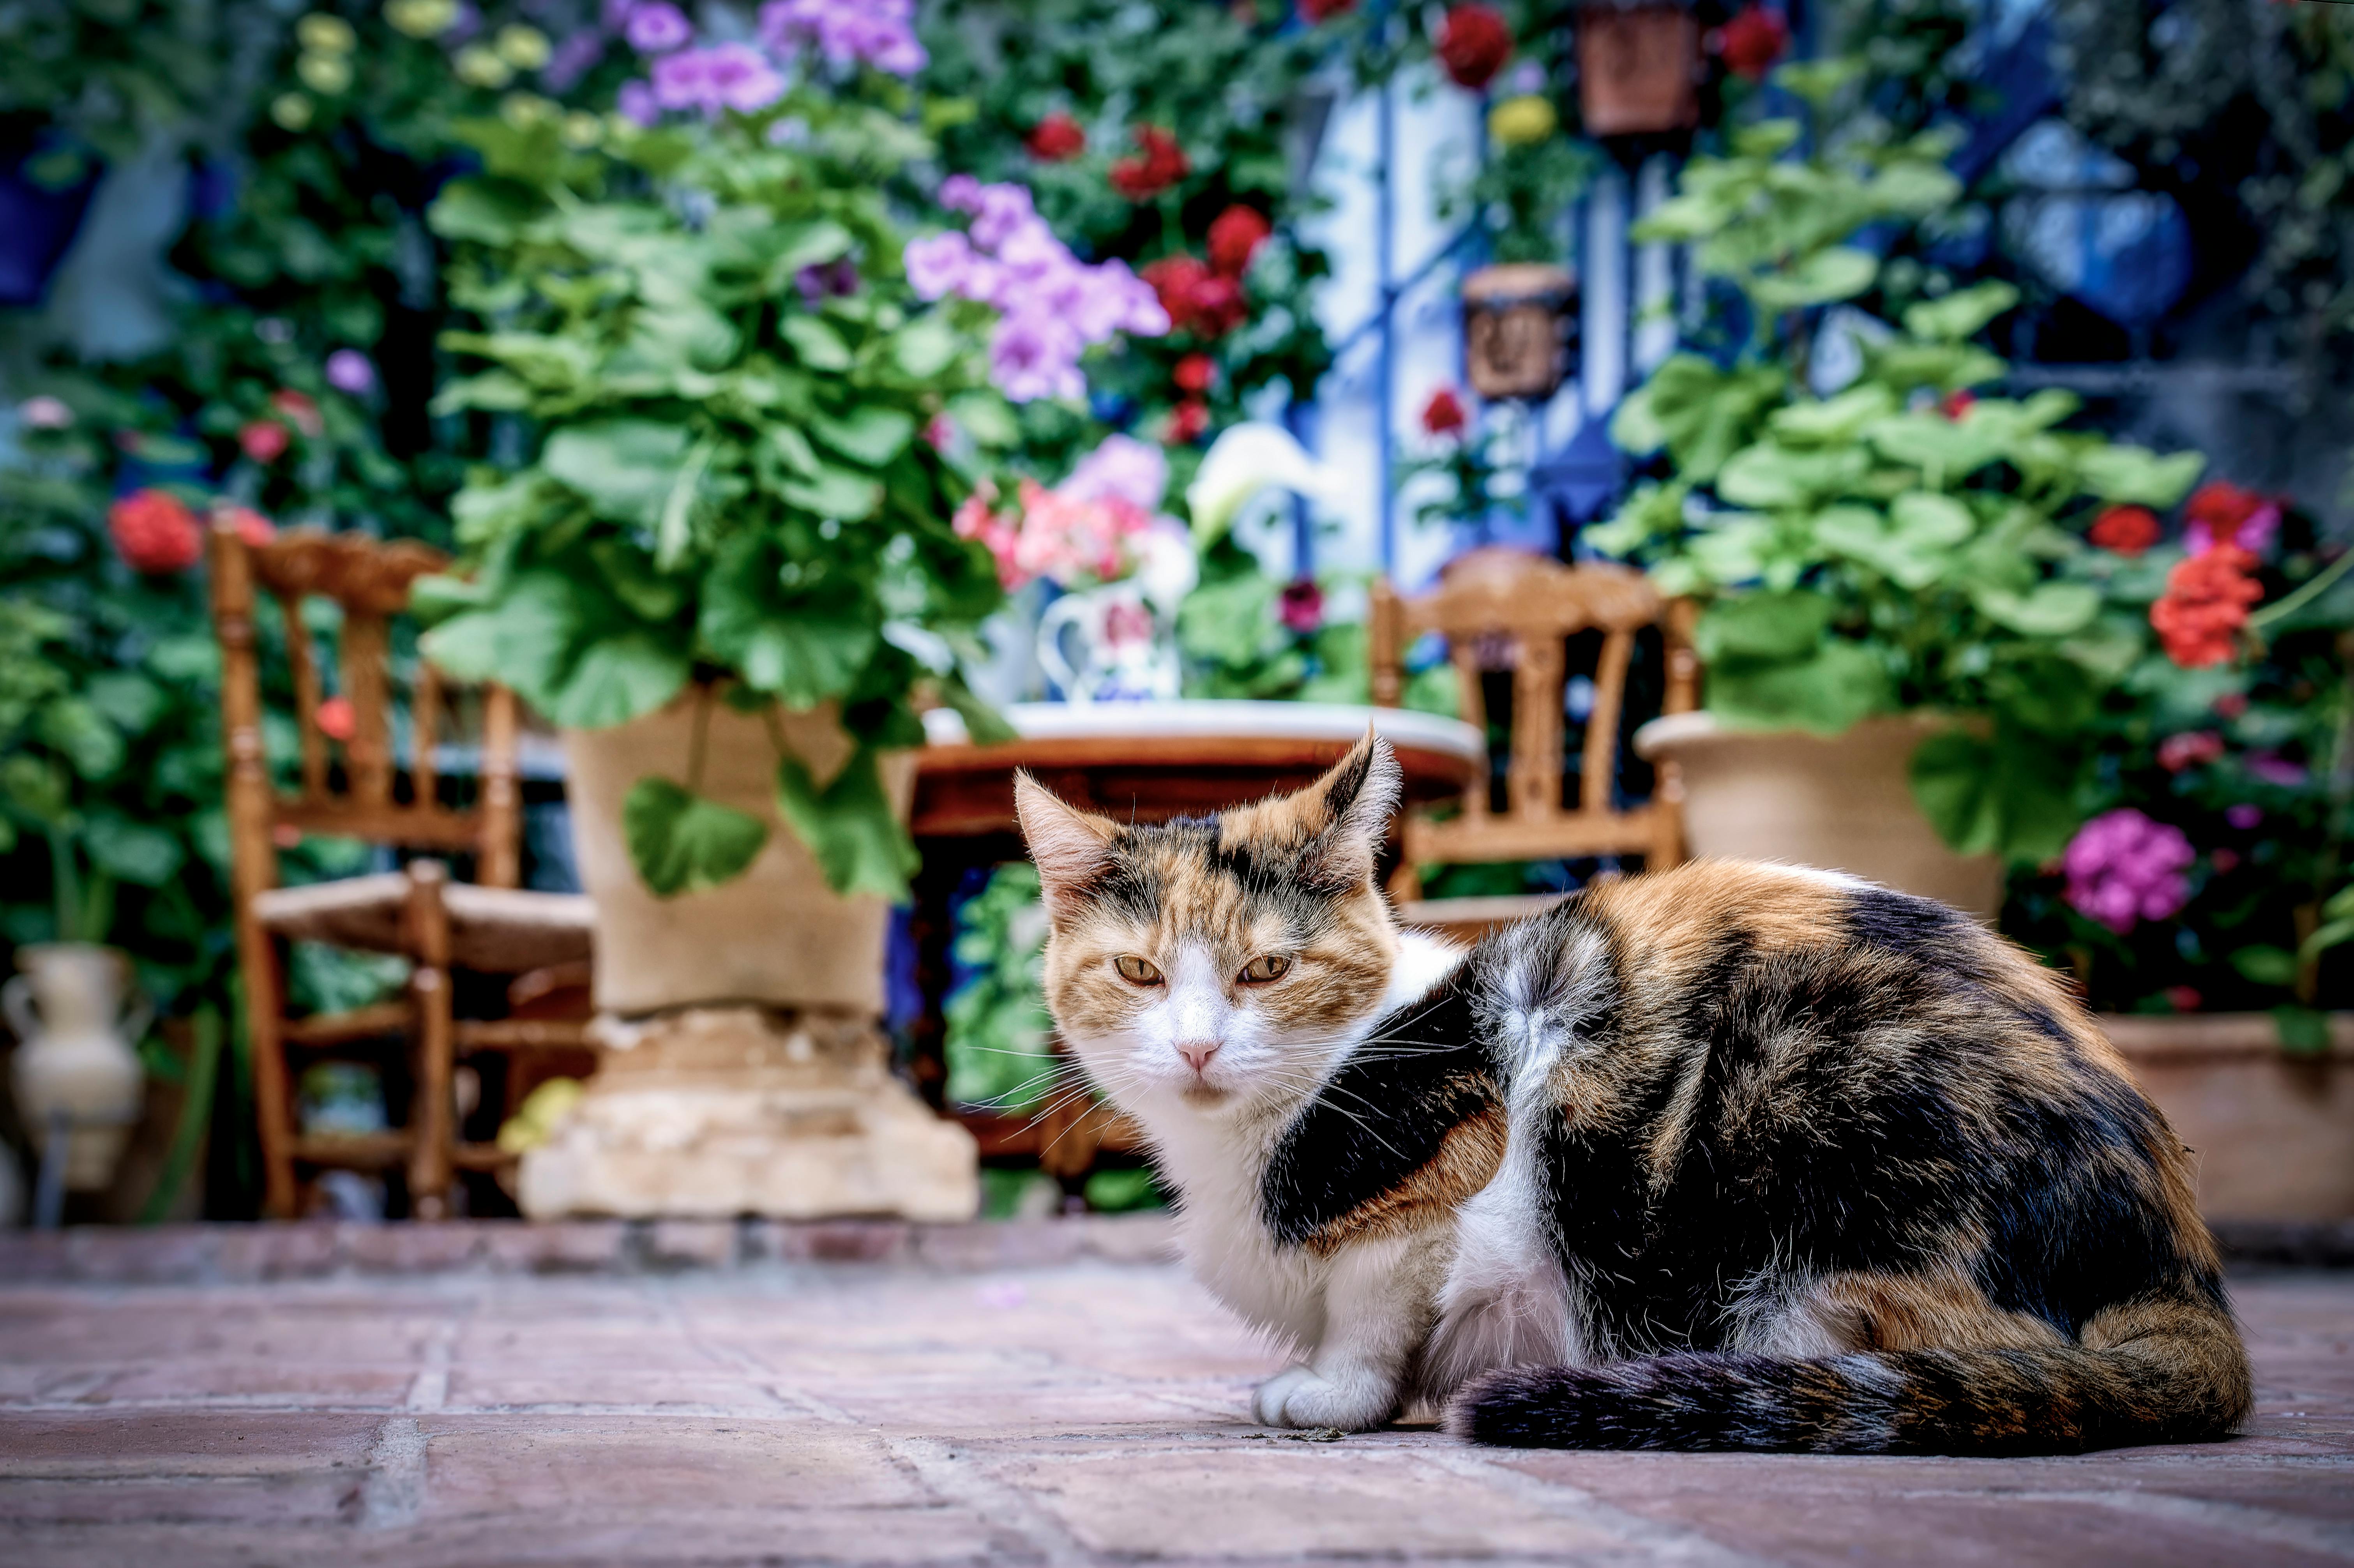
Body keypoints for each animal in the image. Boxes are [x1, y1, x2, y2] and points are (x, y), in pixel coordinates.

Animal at [1017, 735, 2260, 1450]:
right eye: (1139, 972)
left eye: (1267, 969)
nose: (1196, 1049)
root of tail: (2175, 1261)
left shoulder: (1451, 1188)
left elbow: (1375, 1309)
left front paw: (1330, 1393)